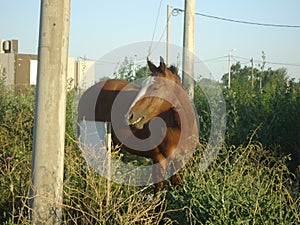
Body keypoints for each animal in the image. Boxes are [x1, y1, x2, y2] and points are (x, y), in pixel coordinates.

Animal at [78, 56, 198, 193]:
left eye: (156, 87)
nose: (129, 116)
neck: (178, 127)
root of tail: (86, 93)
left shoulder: (180, 162)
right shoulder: (159, 160)